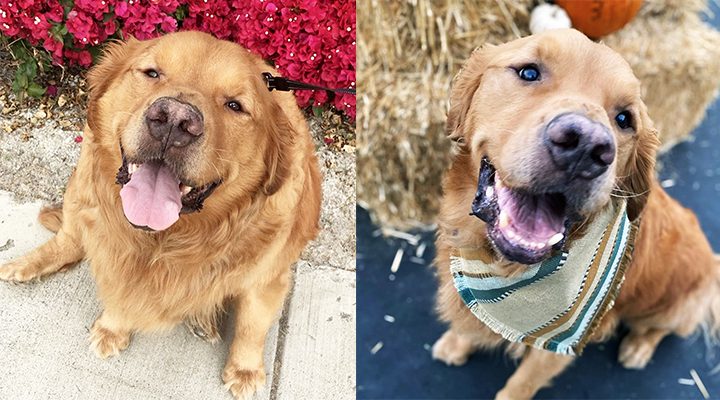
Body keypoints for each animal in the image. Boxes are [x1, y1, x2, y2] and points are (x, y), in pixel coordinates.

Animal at [0, 31, 320, 400]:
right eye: (152, 73)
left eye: (235, 105)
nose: (174, 120)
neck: (164, 240)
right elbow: (119, 288)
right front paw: (113, 328)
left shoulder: (267, 278)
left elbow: (252, 326)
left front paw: (245, 370)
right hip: (81, 183)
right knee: (69, 239)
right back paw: (24, 265)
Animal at [430, 28, 716, 400]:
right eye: (529, 72)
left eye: (624, 119)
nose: (585, 147)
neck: (502, 265)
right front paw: (455, 343)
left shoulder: (556, 347)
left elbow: (519, 385)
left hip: (677, 304)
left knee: (663, 328)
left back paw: (639, 347)